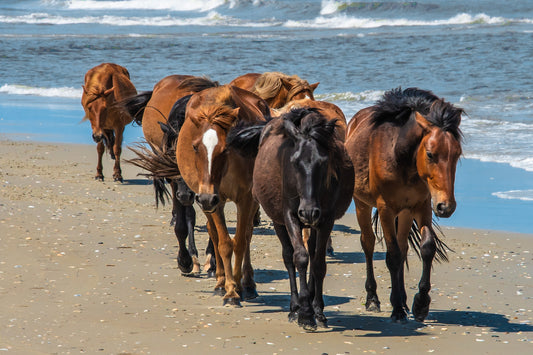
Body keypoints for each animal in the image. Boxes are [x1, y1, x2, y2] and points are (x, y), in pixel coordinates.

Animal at [225, 108, 354, 330]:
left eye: (324, 162)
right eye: (294, 162)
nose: (308, 212)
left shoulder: (326, 220)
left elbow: (318, 263)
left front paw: (318, 311)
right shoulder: (290, 216)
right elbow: (299, 258)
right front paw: (305, 314)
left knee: (312, 251)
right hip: (278, 220)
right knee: (288, 256)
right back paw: (294, 308)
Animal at [344, 87, 462, 324]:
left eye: (457, 154)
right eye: (430, 154)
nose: (446, 207)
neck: (402, 160)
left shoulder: (421, 206)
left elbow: (426, 248)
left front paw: (420, 304)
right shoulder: (386, 209)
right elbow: (393, 256)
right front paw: (397, 309)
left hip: (406, 213)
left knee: (403, 246)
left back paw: (404, 301)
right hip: (362, 204)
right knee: (368, 243)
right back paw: (373, 299)